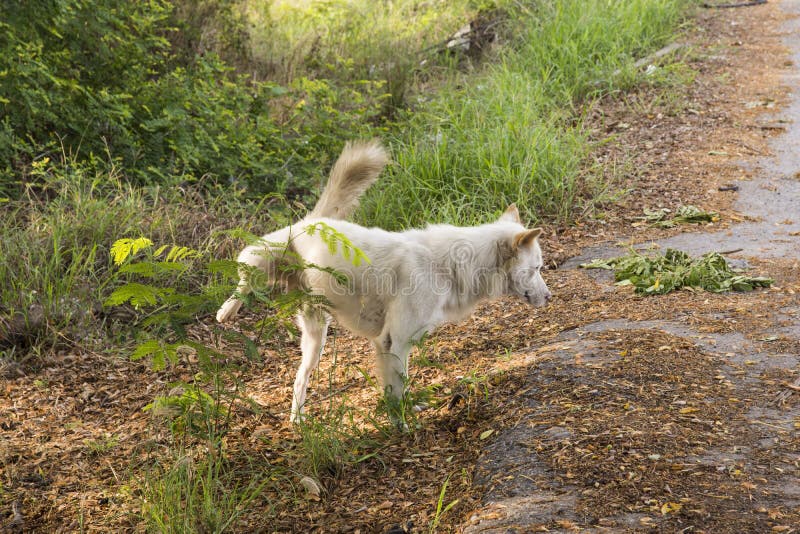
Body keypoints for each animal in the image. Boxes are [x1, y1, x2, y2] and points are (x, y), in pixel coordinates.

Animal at [216, 140, 552, 426]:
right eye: (537, 268)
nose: (549, 297)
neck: (450, 266)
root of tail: (313, 221)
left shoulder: (394, 344)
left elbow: (398, 388)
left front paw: (406, 413)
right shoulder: (395, 341)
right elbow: (397, 390)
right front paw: (400, 426)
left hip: (315, 338)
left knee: (300, 379)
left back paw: (297, 419)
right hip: (262, 256)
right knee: (243, 276)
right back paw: (226, 311)